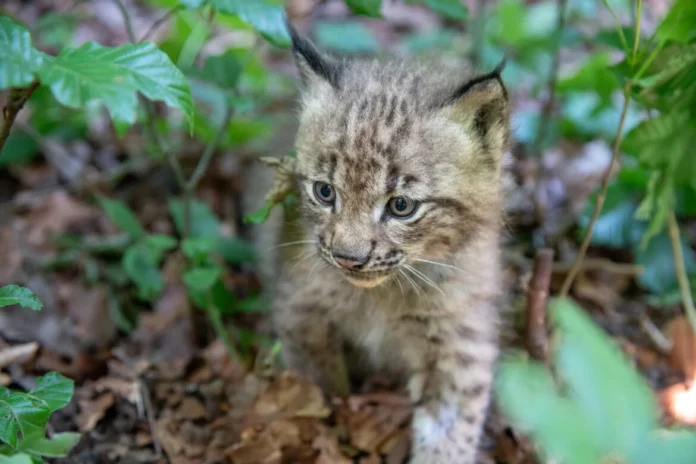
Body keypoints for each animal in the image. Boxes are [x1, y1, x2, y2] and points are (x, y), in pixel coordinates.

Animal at [268, 23, 512, 462]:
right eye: (325, 193)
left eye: (401, 206)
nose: (348, 259)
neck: (382, 295)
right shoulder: (300, 308)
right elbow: (318, 387)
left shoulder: (459, 340)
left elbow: (451, 432)